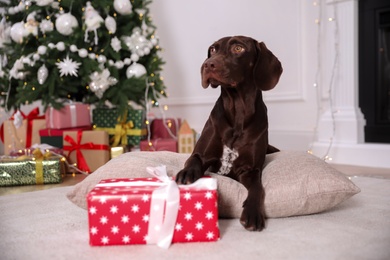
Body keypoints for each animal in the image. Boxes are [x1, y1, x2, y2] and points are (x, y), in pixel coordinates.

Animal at [175, 35, 282, 232]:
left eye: (238, 48)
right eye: (212, 49)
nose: (207, 65)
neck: (237, 109)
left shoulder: (250, 170)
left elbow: (258, 188)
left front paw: (253, 213)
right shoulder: (201, 155)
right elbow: (193, 161)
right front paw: (186, 173)